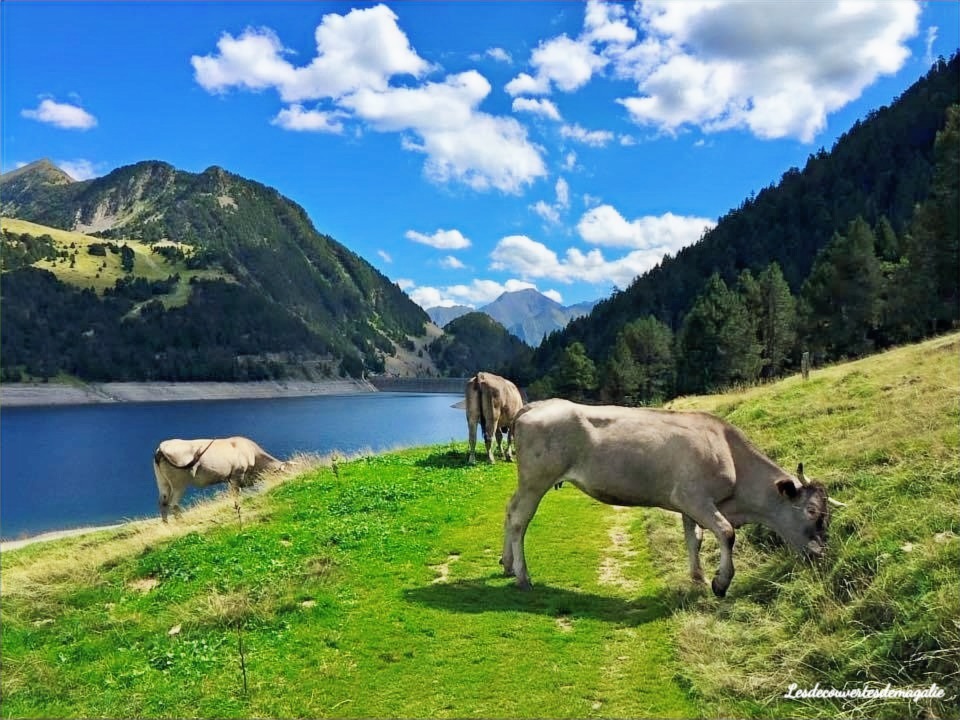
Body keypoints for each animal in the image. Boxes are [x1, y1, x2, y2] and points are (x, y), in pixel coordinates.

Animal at [153, 436, 283, 522]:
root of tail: (162, 446)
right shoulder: (237, 475)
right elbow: (236, 494)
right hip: (179, 484)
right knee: (174, 504)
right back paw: (181, 523)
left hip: (163, 483)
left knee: (163, 503)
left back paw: (166, 525)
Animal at [502, 399, 842, 597]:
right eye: (812, 511)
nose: (821, 554)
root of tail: (534, 405)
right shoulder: (694, 498)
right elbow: (726, 533)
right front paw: (720, 583)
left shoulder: (689, 505)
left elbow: (695, 540)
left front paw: (698, 578)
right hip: (536, 480)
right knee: (519, 520)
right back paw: (522, 575)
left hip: (528, 482)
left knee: (508, 511)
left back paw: (506, 564)